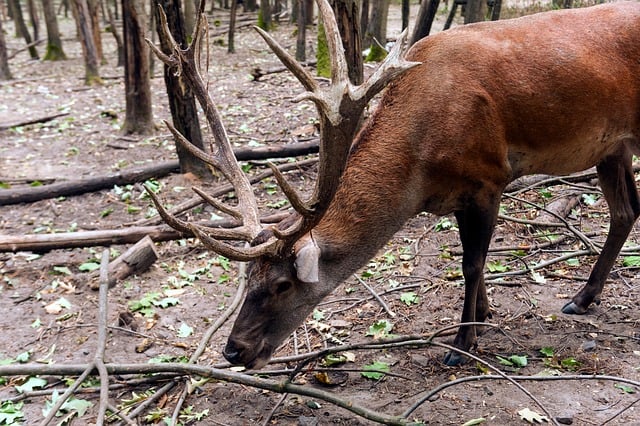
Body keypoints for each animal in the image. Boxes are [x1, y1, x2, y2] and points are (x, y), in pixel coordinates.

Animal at [148, 0, 640, 370]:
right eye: (246, 280)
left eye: (282, 285)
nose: (234, 350)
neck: (421, 174)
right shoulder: (461, 196)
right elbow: (474, 264)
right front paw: (484, 316)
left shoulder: (489, 178)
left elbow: (473, 264)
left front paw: (463, 345)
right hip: (612, 147)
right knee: (626, 211)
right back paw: (583, 298)